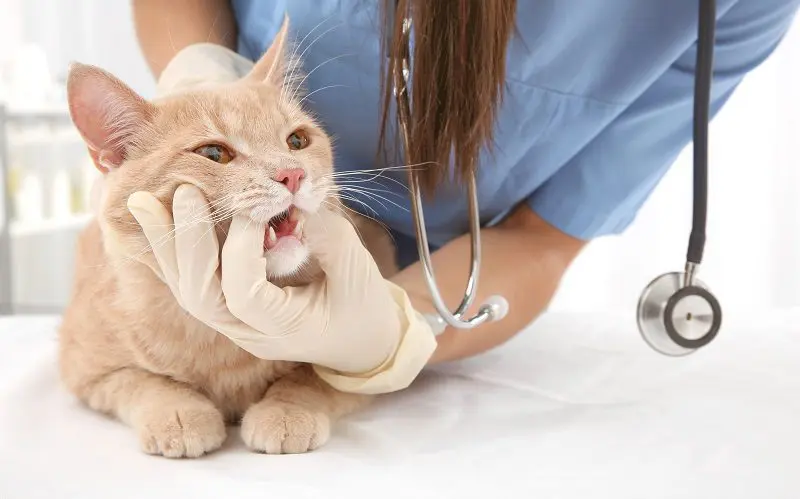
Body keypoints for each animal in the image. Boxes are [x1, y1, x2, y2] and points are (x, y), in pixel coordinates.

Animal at [55, 17, 396, 458]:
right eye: (214, 154)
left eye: (297, 141)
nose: (293, 174)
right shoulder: (85, 368)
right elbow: (142, 382)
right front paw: (179, 412)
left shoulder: (363, 360)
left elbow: (312, 378)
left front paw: (286, 409)